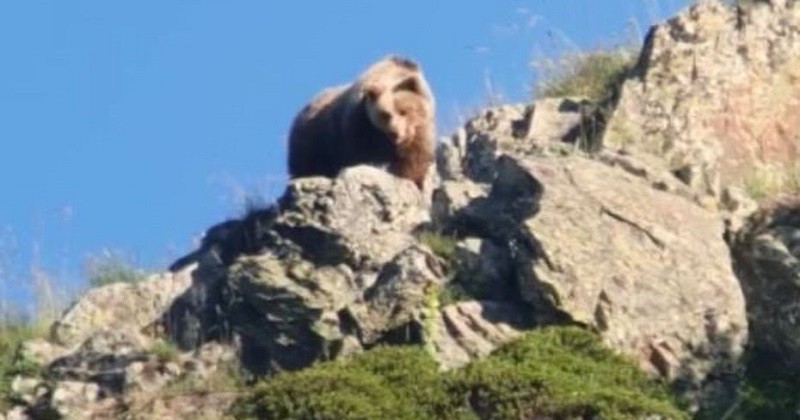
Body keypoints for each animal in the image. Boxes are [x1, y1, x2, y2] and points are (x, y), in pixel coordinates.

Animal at [288, 55, 434, 189]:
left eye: (403, 111)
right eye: (385, 114)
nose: (395, 132)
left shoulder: (420, 129)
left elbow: (414, 157)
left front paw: (409, 178)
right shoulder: (360, 123)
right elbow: (357, 154)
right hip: (313, 139)